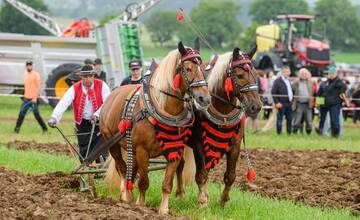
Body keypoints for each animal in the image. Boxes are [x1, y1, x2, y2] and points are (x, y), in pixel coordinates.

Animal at [99, 39, 211, 215]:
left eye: (204, 67)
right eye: (188, 68)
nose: (204, 98)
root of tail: (113, 94)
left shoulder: (174, 151)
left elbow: (167, 183)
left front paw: (164, 209)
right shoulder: (142, 150)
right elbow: (144, 181)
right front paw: (141, 205)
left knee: (132, 170)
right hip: (112, 143)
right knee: (122, 168)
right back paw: (125, 196)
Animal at [183, 45, 262, 208]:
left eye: (256, 74)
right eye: (239, 75)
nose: (256, 106)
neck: (223, 112)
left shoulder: (235, 145)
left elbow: (230, 175)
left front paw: (223, 200)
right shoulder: (198, 144)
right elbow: (201, 174)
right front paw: (202, 202)